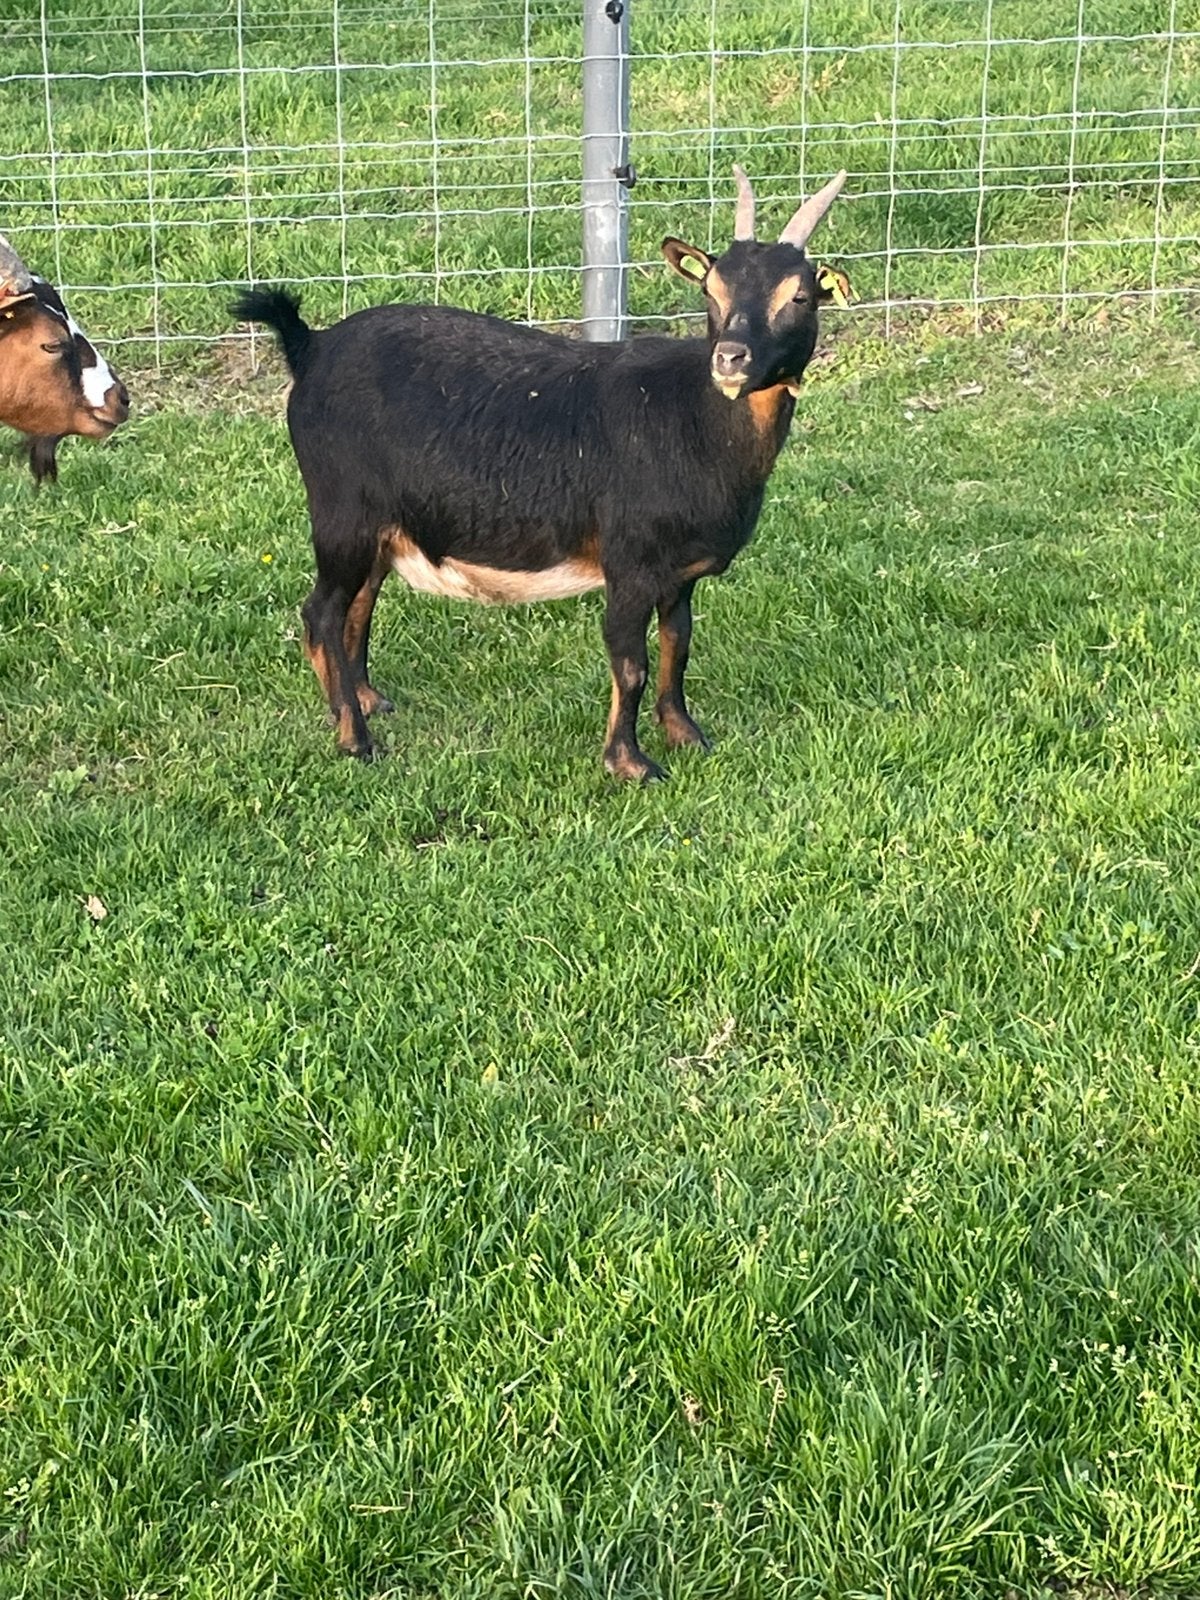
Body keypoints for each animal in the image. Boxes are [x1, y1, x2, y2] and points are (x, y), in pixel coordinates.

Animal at [232, 165, 850, 779]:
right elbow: (631, 663)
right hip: (343, 513)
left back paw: (365, 700)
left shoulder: (679, 574)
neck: (692, 418)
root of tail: (310, 347)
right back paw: (355, 739)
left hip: (382, 527)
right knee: (321, 613)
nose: (730, 357)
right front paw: (629, 763)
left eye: (799, 295)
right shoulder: (630, 564)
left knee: (357, 605)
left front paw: (686, 735)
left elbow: (678, 646)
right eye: (711, 290)